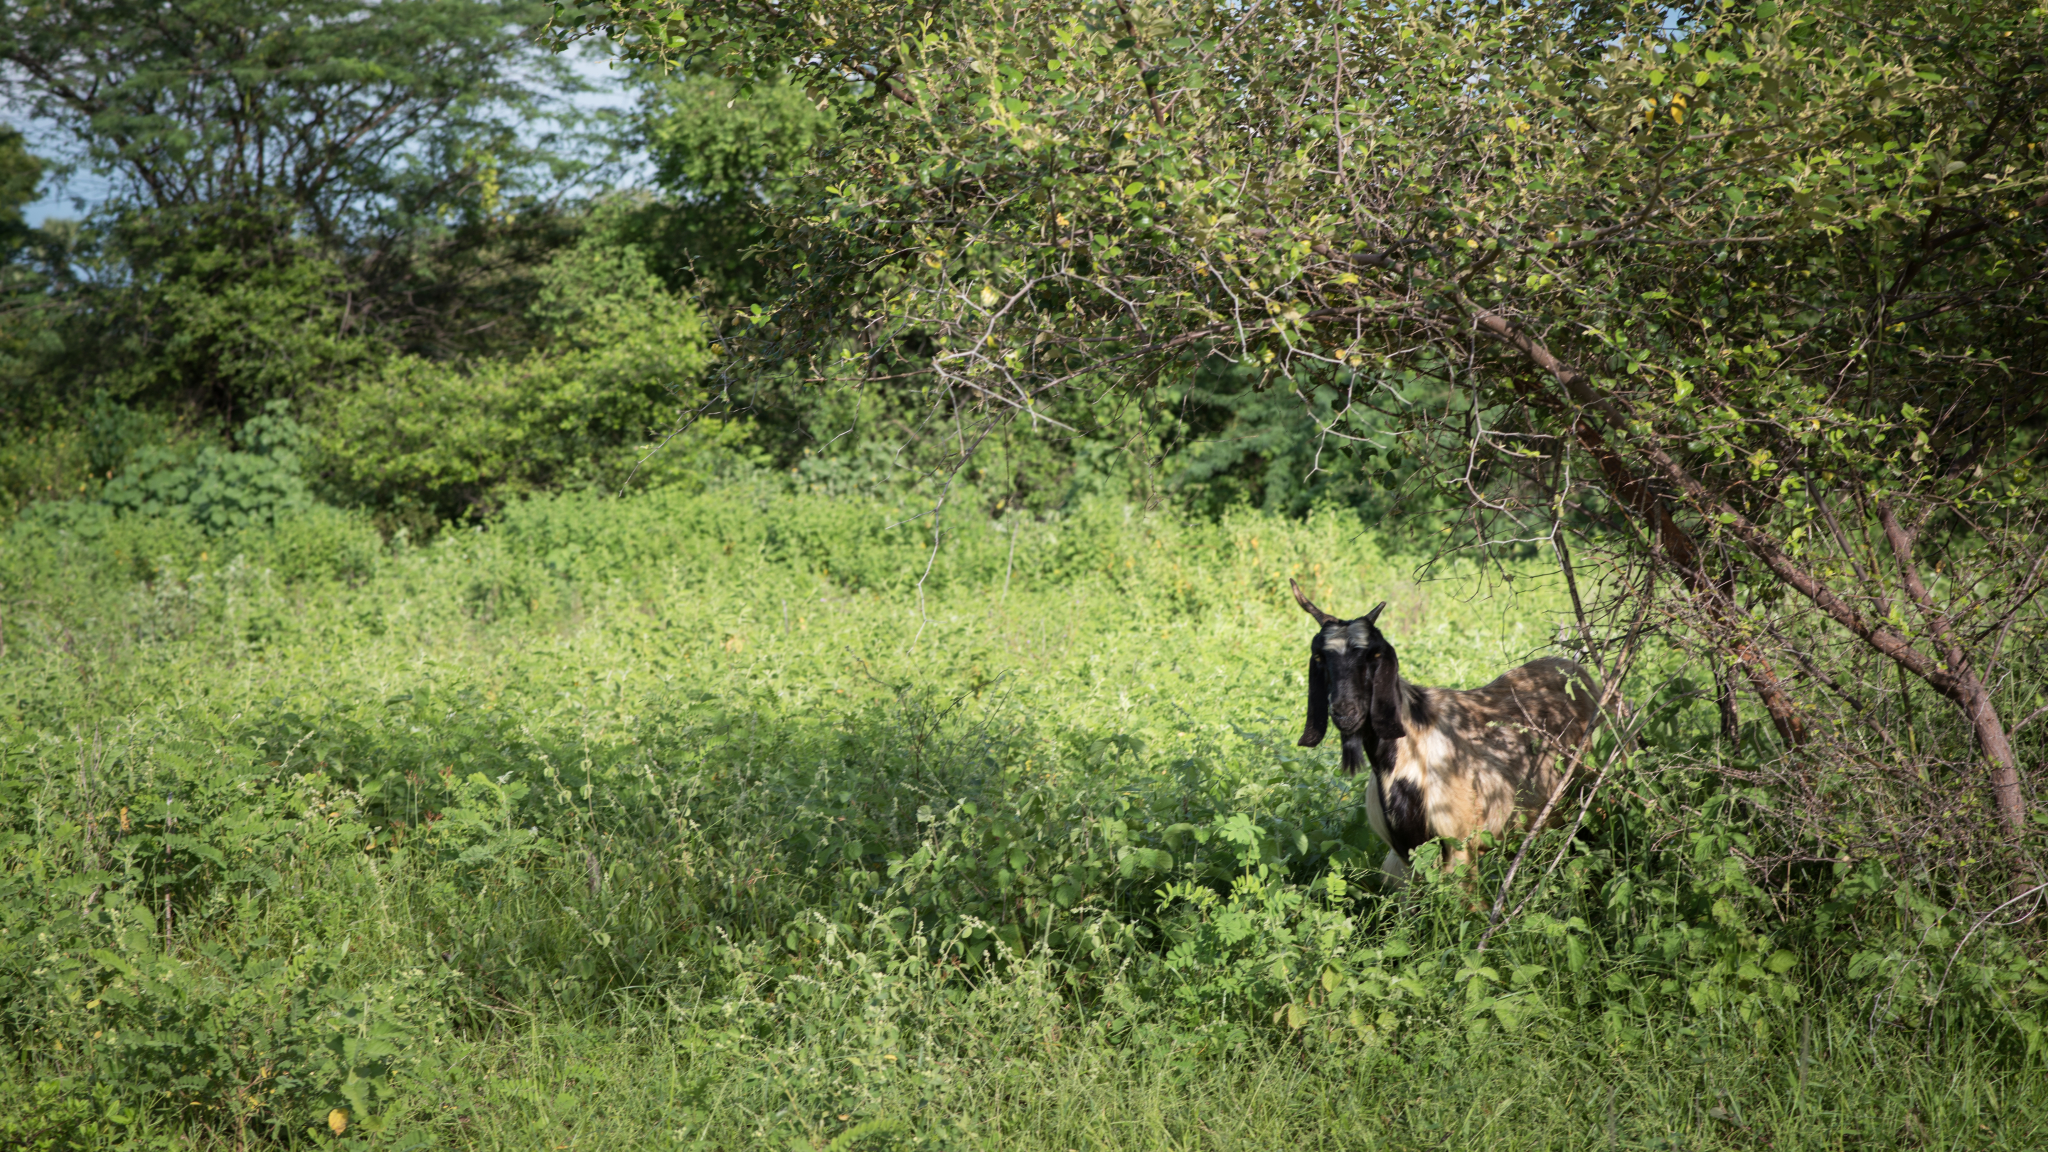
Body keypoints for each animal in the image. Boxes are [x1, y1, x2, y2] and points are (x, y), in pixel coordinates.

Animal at [1294, 578, 1597, 881]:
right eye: (1320, 657)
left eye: (1374, 654)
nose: (1345, 712)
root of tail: (1575, 668)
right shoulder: (1404, 859)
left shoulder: (1461, 846)